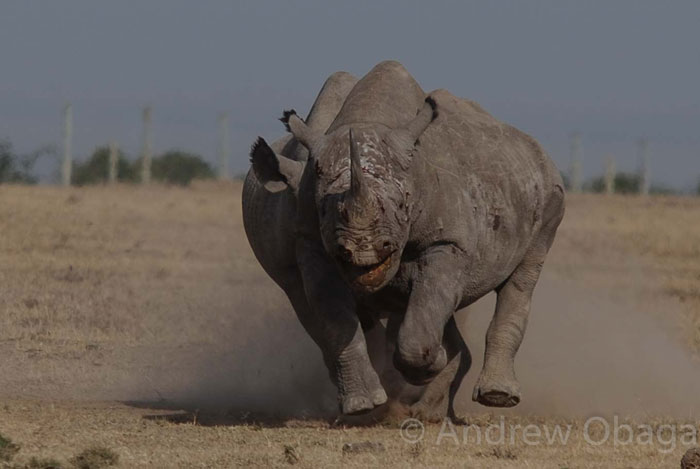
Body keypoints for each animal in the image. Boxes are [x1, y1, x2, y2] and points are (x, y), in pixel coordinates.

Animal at [243, 60, 568, 418]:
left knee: (521, 276)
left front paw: (430, 363)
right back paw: (424, 407)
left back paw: (492, 396)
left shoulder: (446, 242)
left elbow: (419, 320)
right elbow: (336, 324)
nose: (362, 249)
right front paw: (362, 404)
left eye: (402, 206)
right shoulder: (312, 247)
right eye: (325, 208)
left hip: (549, 192)